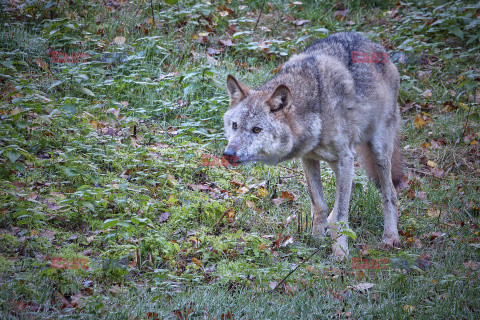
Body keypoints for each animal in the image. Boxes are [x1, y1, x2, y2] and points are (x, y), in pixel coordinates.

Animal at [223, 31, 404, 258]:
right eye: (235, 125)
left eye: (256, 129)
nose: (228, 153)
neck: (317, 107)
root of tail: (376, 46)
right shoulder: (308, 158)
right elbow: (319, 204)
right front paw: (316, 240)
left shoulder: (345, 157)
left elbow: (341, 214)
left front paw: (340, 253)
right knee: (351, 188)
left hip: (377, 152)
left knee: (390, 194)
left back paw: (391, 237)